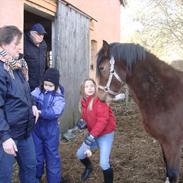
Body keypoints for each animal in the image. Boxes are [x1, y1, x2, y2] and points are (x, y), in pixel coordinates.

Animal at [96, 40, 183, 183]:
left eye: (102, 68)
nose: (100, 98)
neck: (164, 93)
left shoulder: (172, 143)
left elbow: (172, 173)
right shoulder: (163, 141)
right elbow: (166, 167)